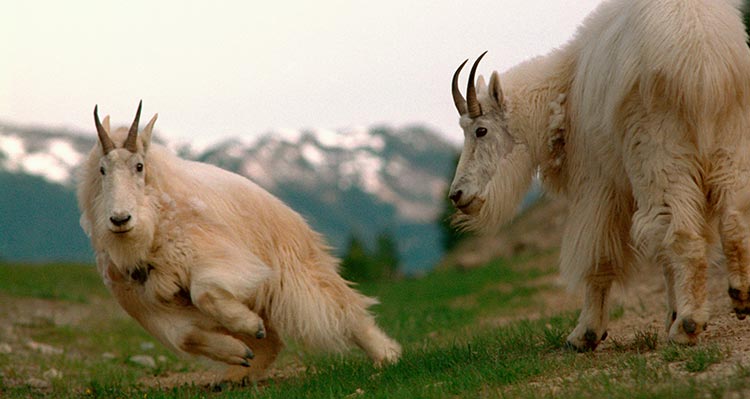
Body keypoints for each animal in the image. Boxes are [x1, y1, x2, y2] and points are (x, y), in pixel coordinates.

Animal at [78, 101, 402, 376]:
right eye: (102, 169)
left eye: (139, 166)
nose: (120, 220)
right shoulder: (147, 302)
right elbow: (187, 335)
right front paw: (240, 351)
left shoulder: (217, 257)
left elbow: (204, 293)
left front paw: (250, 325)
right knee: (276, 339)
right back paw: (239, 375)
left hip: (295, 271)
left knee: (341, 309)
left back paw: (387, 355)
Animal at [450, 0, 750, 350]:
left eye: (480, 130)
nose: (456, 195)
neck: (563, 94)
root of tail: (702, 60)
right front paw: (670, 315)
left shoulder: (597, 184)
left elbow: (598, 257)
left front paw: (585, 334)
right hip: (730, 140)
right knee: (734, 217)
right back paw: (739, 297)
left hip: (659, 153)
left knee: (681, 232)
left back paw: (688, 325)